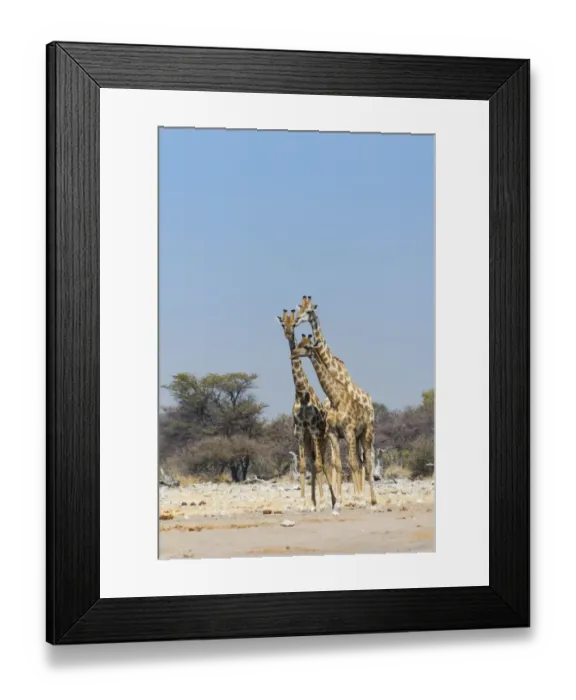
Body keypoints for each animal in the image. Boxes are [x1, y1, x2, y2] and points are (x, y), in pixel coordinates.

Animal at [276, 309, 339, 513]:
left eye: (294, 323)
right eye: (283, 324)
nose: (288, 333)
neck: (302, 395)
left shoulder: (313, 431)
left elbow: (319, 465)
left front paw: (322, 502)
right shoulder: (300, 432)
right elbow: (303, 466)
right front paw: (305, 502)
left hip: (323, 438)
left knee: (324, 463)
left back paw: (331, 500)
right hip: (312, 440)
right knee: (313, 463)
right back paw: (314, 501)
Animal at [294, 295, 375, 494]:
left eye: (309, 311)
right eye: (299, 308)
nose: (297, 320)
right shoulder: (332, 430)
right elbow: (336, 463)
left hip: (369, 431)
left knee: (366, 461)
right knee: (357, 461)